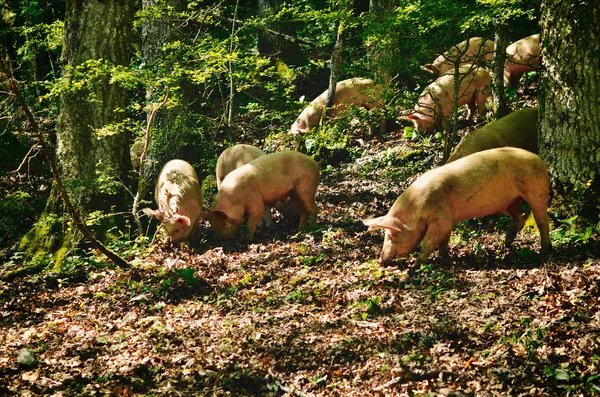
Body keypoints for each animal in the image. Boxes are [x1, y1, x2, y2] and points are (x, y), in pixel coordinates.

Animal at [364, 147, 552, 264]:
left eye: (392, 236)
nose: (380, 261)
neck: (416, 209)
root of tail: (540, 159)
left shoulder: (440, 218)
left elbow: (428, 242)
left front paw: (417, 265)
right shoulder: (448, 218)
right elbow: (444, 241)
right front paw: (444, 259)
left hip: (536, 190)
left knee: (542, 220)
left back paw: (545, 251)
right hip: (509, 202)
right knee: (520, 216)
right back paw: (506, 243)